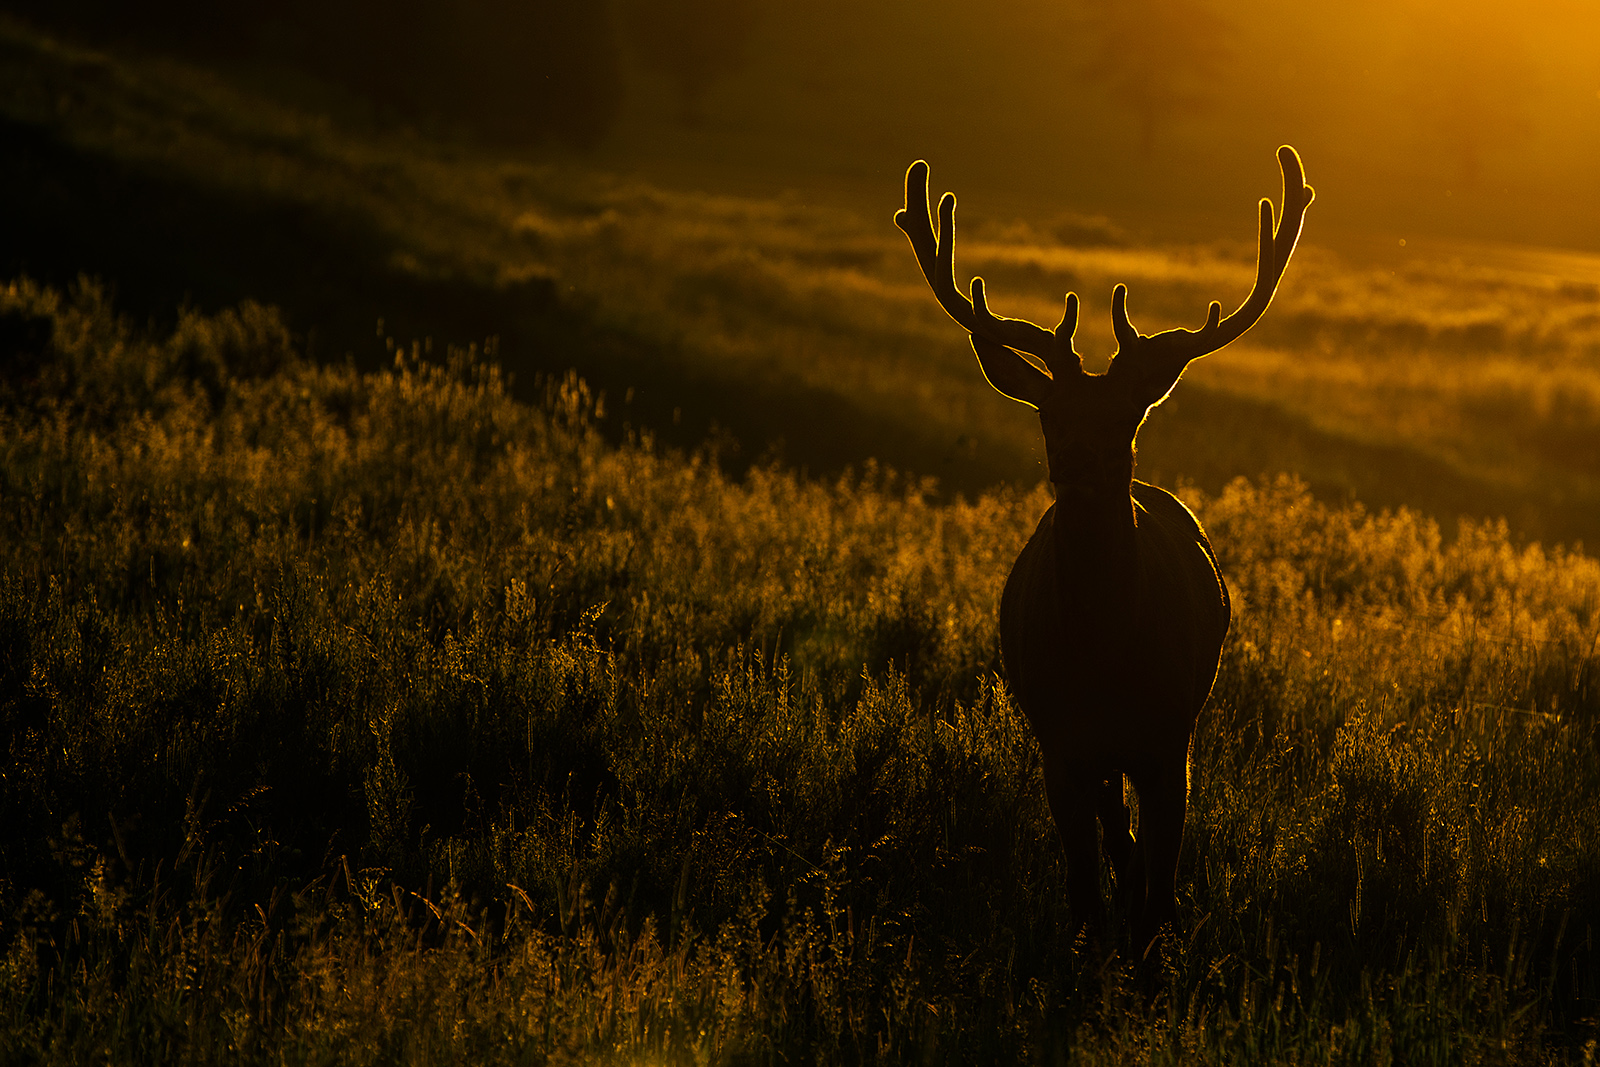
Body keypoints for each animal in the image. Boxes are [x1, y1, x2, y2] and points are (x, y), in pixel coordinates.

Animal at [896, 147, 1313, 956]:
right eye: (1049, 414)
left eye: (1126, 416)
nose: (1079, 462)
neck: (1104, 649)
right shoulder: (1061, 742)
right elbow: (1084, 893)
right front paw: (1097, 945)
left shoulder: (1169, 739)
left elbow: (1158, 885)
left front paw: (1154, 946)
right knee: (1114, 833)